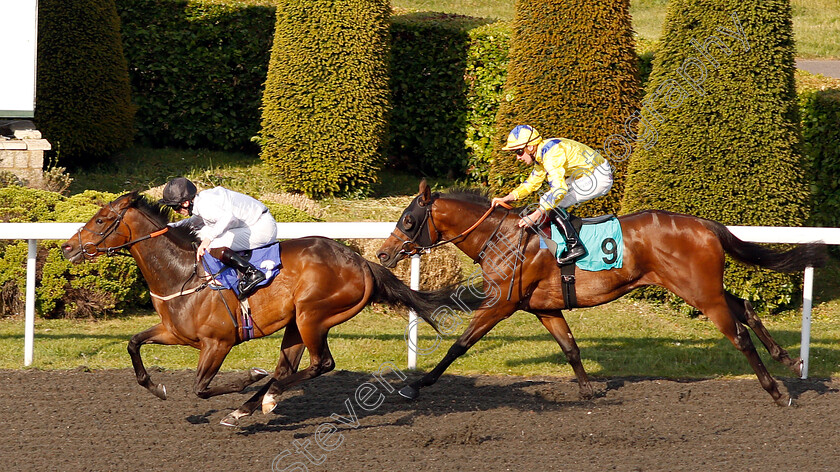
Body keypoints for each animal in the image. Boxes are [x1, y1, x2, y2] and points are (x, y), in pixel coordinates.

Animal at [62, 190, 470, 426]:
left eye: (101, 220)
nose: (67, 248)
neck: (182, 274)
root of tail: (361, 261)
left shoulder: (218, 343)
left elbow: (202, 387)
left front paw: (248, 378)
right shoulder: (175, 333)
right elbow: (133, 343)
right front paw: (155, 387)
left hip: (312, 316)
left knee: (320, 364)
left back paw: (264, 396)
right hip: (296, 323)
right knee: (288, 366)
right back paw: (253, 403)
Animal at [378, 181, 824, 406]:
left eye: (409, 219)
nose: (383, 253)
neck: (501, 237)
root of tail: (704, 224)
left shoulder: (500, 304)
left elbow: (459, 345)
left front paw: (416, 384)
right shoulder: (542, 308)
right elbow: (570, 348)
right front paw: (588, 391)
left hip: (701, 295)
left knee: (740, 336)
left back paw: (777, 391)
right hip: (705, 288)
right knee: (745, 307)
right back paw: (789, 359)